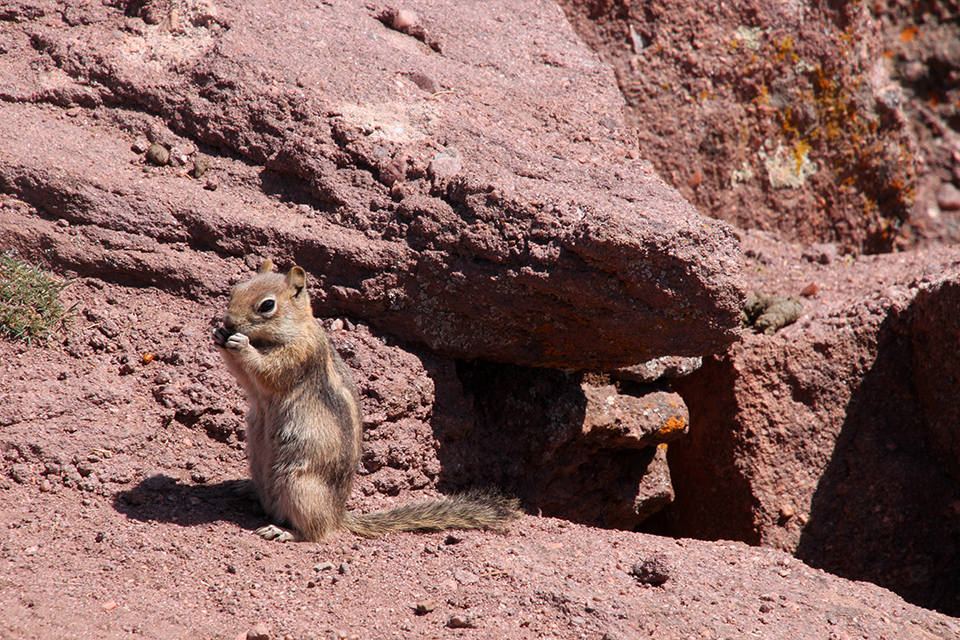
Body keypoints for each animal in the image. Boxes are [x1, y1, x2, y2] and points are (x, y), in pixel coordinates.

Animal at [214, 258, 520, 540]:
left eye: (267, 305)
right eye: (235, 290)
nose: (228, 321)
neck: (287, 332)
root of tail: (339, 514)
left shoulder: (300, 355)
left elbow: (267, 371)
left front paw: (242, 345)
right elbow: (246, 380)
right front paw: (219, 334)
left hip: (300, 487)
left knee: (317, 531)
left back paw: (284, 530)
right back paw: (247, 489)